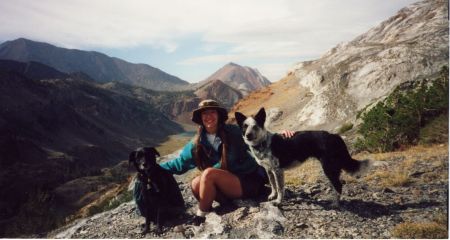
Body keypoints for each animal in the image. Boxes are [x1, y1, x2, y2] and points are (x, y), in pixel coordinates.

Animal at [234, 108, 370, 206]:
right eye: (245, 126)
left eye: (255, 126)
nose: (248, 135)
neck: (262, 143)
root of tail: (334, 136)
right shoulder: (269, 170)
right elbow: (273, 185)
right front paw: (272, 195)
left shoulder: (278, 170)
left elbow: (280, 188)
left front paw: (278, 201)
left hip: (328, 167)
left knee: (338, 185)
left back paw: (335, 204)